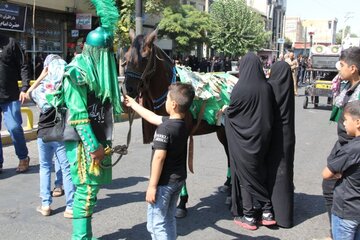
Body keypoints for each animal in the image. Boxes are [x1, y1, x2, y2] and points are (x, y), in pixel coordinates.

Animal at [124, 28, 231, 218]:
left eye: (144, 57)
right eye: (126, 56)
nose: (128, 89)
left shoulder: (182, 135)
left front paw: (182, 203)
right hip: (220, 130)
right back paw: (227, 184)